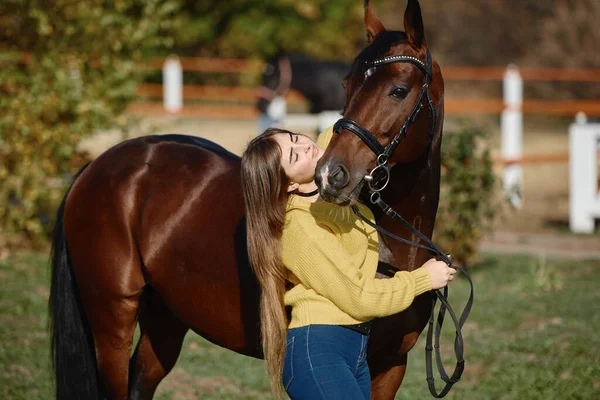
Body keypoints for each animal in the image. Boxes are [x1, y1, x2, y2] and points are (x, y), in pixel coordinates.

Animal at [50, 1, 446, 398]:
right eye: (347, 85)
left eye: (398, 89)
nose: (331, 174)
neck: (393, 247)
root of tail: (97, 166)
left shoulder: (390, 365)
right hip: (112, 321)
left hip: (165, 318)